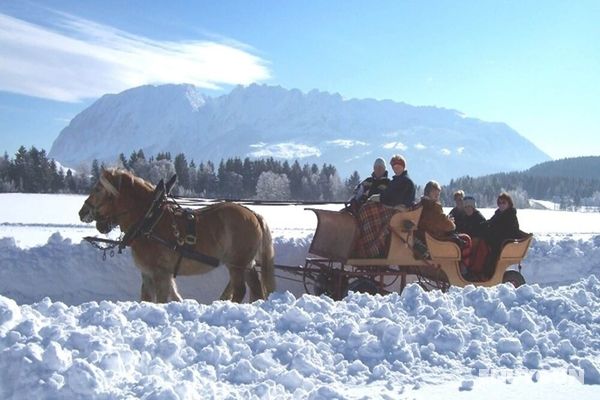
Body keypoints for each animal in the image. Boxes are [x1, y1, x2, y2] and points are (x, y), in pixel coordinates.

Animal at [78, 169, 276, 304]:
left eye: (98, 189)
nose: (82, 212)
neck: (149, 219)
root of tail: (253, 214)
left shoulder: (160, 273)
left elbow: (161, 299)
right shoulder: (148, 273)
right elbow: (149, 298)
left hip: (236, 263)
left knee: (240, 289)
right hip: (246, 263)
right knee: (256, 290)